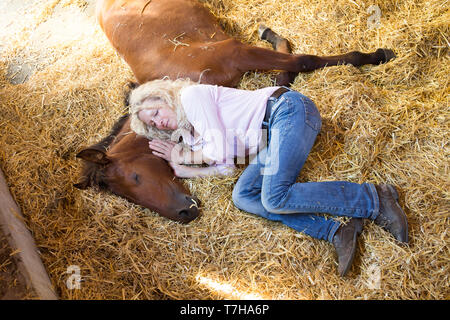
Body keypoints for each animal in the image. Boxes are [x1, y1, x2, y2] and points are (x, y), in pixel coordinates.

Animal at [75, 0, 396, 224]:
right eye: (129, 199)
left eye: (135, 178)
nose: (184, 214)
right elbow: (285, 74)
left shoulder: (235, 52)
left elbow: (304, 60)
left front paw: (376, 55)